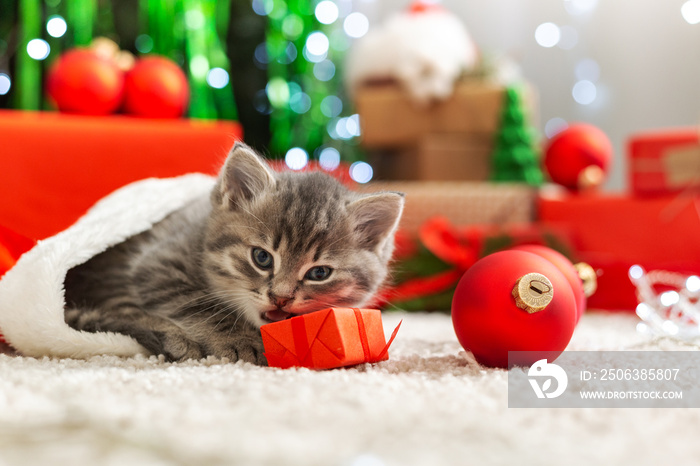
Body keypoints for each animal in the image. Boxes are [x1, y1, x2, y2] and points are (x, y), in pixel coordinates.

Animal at [67, 142, 404, 364]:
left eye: (319, 273)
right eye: (262, 258)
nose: (281, 298)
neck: (201, 238)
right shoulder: (157, 263)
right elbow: (202, 306)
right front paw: (239, 340)